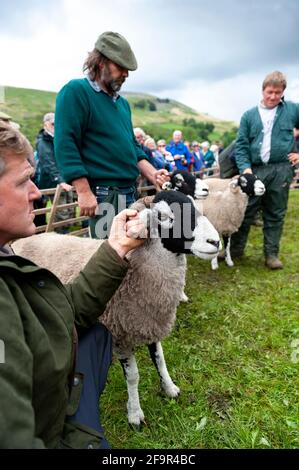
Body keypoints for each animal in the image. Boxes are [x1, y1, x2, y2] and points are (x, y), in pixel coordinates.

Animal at [12, 190, 221, 426]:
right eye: (164, 217)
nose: (215, 241)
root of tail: (27, 238)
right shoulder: (120, 334)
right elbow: (133, 376)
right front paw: (135, 414)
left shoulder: (150, 322)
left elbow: (160, 359)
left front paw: (169, 388)